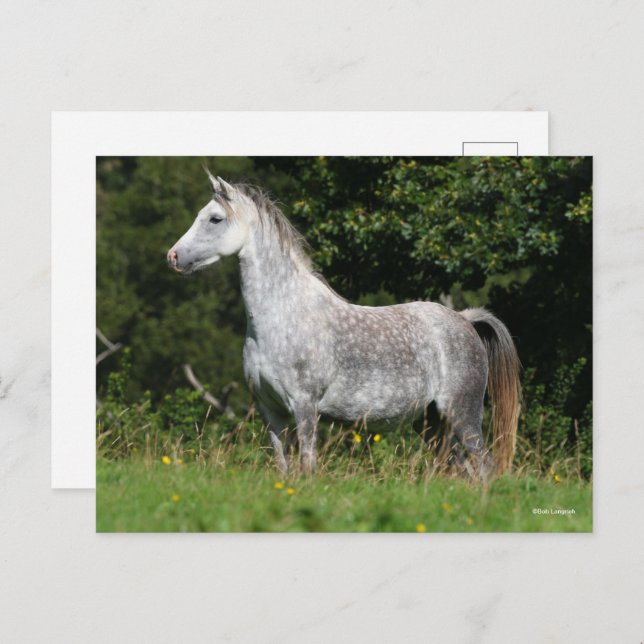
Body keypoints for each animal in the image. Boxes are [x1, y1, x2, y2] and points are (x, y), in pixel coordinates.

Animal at [167, 170, 521, 481]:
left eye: (215, 219)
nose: (173, 256)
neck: (283, 317)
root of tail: (465, 319)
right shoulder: (271, 411)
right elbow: (283, 468)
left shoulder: (304, 407)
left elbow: (308, 466)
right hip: (432, 423)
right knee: (464, 471)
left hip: (462, 414)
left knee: (485, 467)